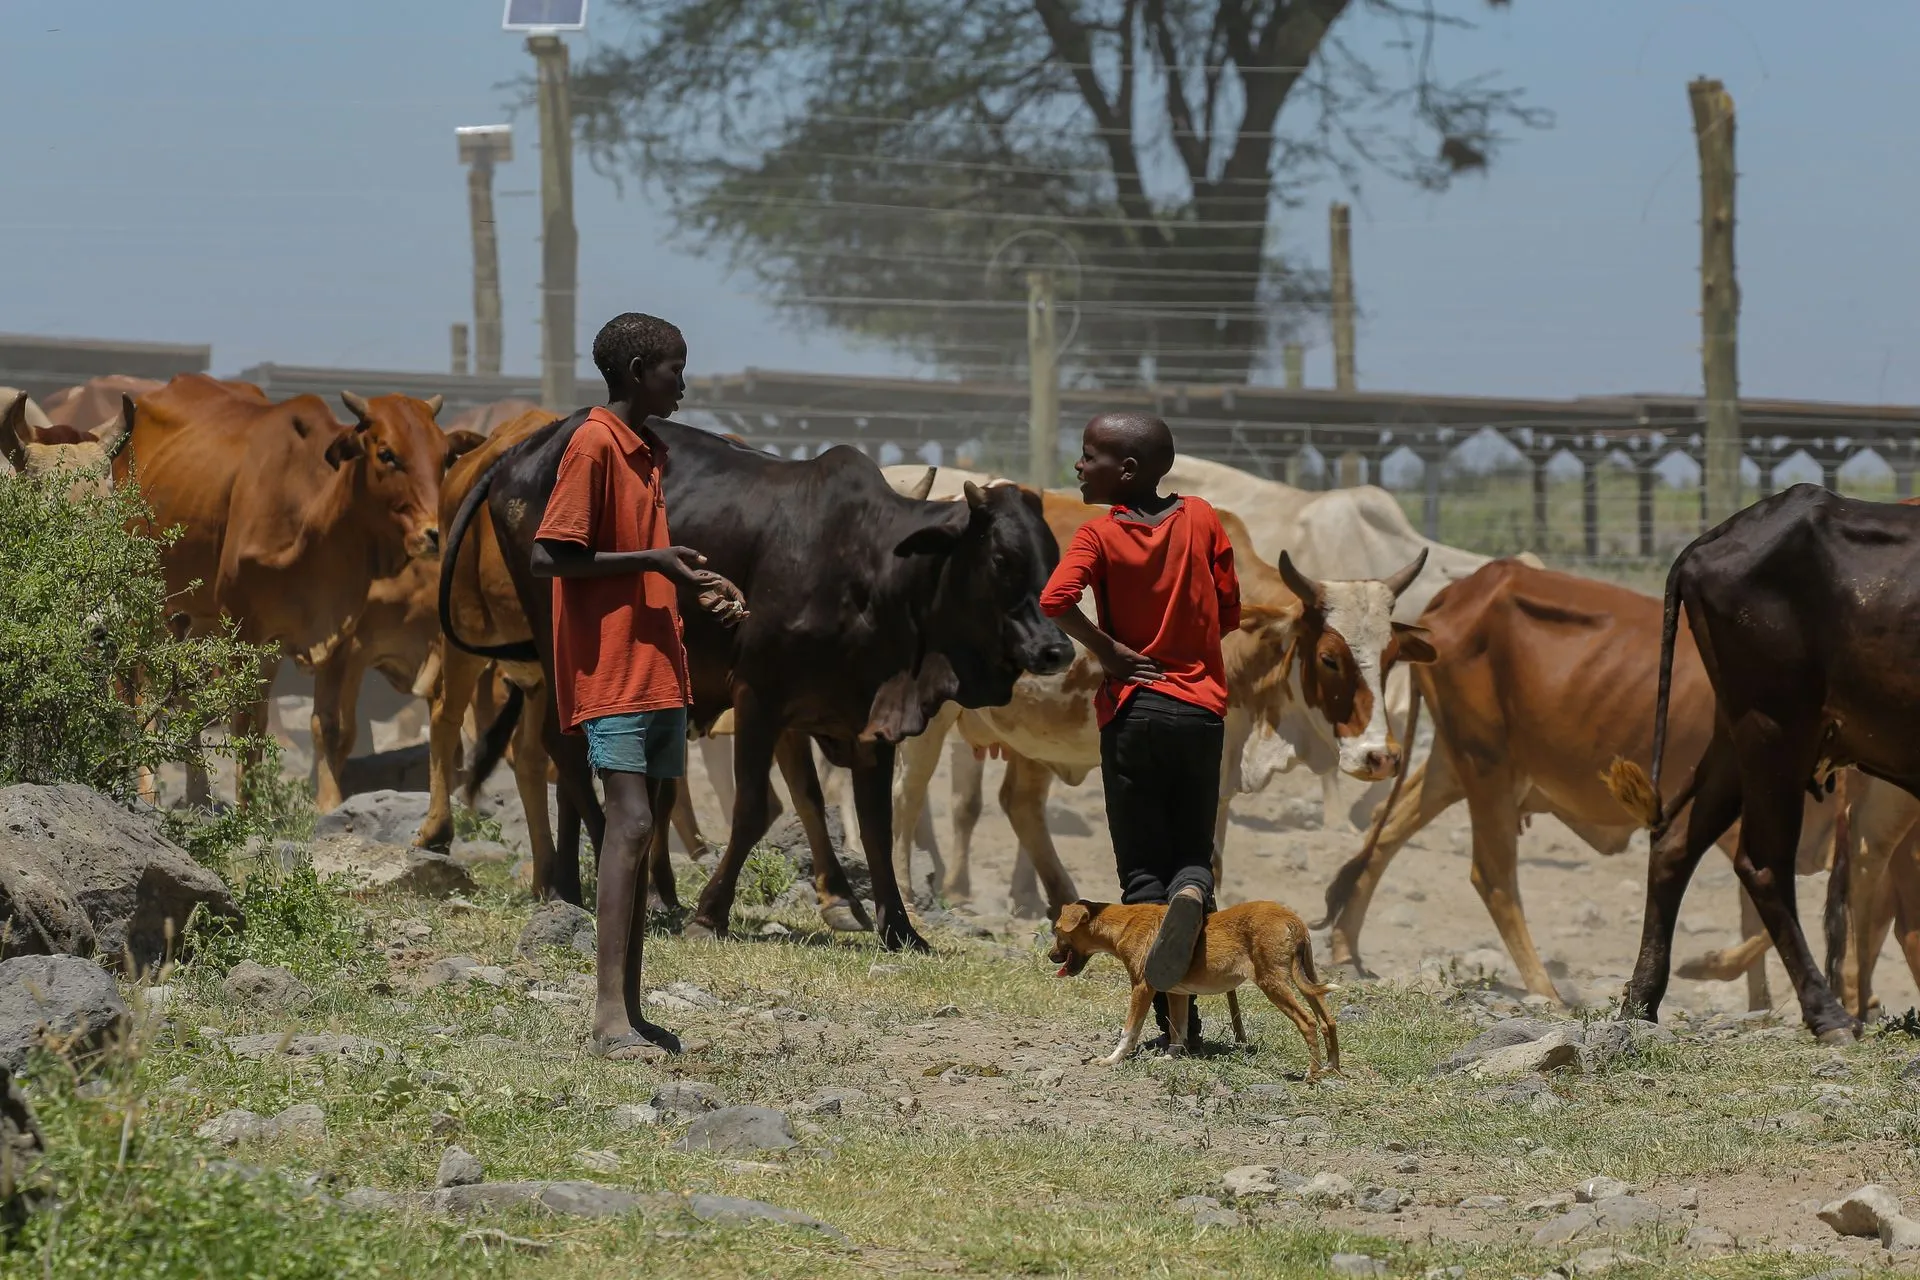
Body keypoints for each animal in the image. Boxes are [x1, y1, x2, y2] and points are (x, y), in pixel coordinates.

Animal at [115, 375, 453, 798]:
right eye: (386, 453)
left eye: (445, 457)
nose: (436, 534)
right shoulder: (243, 630)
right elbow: (246, 727)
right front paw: (248, 806)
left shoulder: (336, 635)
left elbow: (329, 728)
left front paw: (327, 804)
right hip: (143, 605)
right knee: (142, 696)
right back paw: (149, 791)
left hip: (193, 618)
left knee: (186, 696)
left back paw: (198, 795)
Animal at [448, 415, 1073, 950]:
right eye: (1001, 557)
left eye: (1052, 554)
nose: (1058, 649)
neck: (872, 570)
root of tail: (520, 451)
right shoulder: (757, 697)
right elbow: (753, 808)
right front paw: (709, 914)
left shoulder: (867, 719)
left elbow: (874, 823)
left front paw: (900, 929)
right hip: (561, 646)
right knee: (564, 751)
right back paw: (617, 879)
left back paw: (591, 888)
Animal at [1315, 559, 1841, 1007]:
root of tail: (1460, 591)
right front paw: (1711, 968)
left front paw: (1764, 1004)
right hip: (1486, 766)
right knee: (1492, 875)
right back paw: (1546, 992)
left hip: (1458, 762)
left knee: (1385, 832)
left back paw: (1346, 948)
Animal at [1606, 485, 1920, 1039]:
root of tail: (1712, 538)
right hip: (1775, 730)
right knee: (1764, 865)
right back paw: (1829, 1014)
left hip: (1738, 737)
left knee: (1674, 845)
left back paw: (1641, 1002)